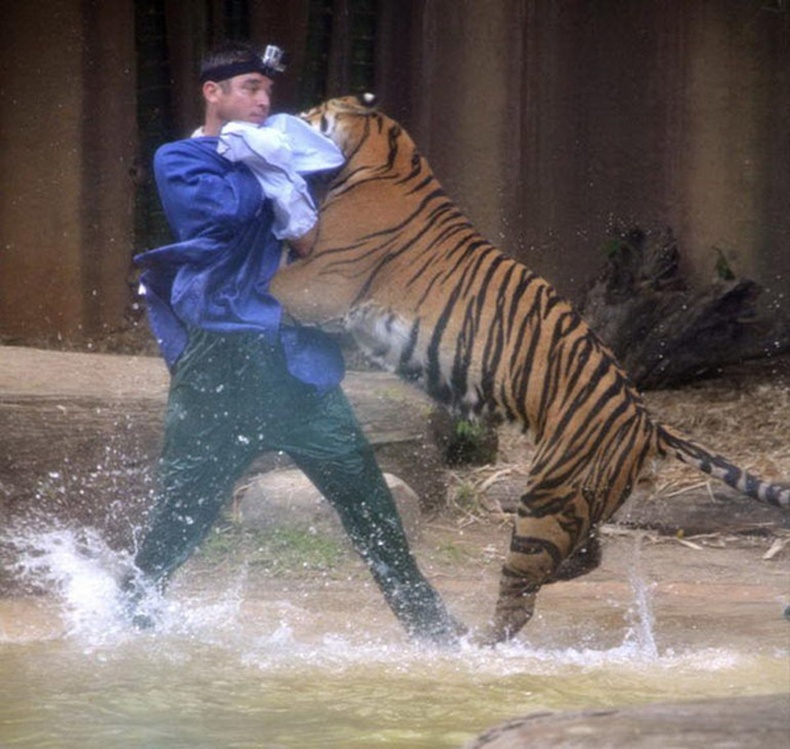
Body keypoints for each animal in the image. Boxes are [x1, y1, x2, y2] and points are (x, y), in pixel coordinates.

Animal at [270, 92, 784, 644]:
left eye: (317, 112)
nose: (290, 115)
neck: (386, 154)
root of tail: (650, 425)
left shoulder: (321, 283)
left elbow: (270, 279)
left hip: (547, 498)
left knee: (520, 595)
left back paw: (476, 642)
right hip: (579, 502)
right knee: (582, 557)